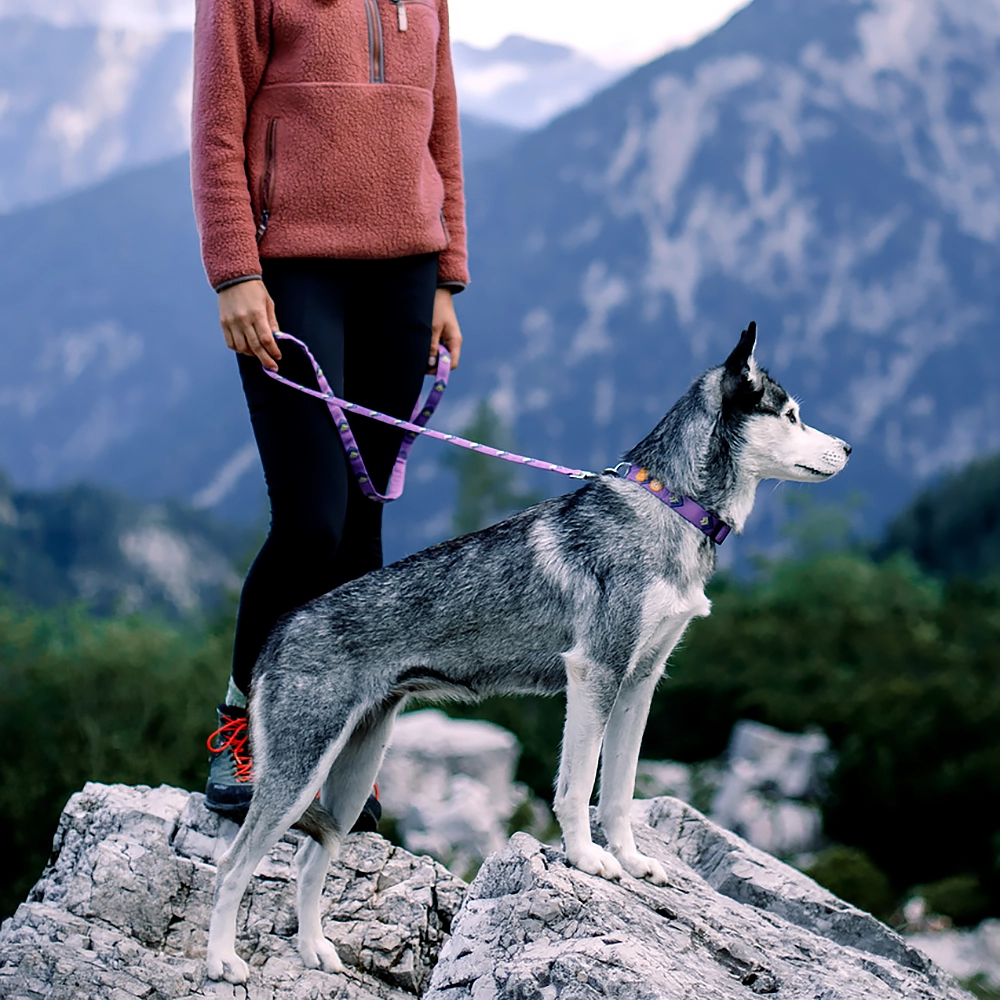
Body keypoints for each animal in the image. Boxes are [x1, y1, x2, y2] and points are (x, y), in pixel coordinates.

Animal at [206, 323, 851, 983]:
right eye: (792, 415)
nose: (849, 450)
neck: (672, 506)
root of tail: (279, 632)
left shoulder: (640, 682)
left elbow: (618, 792)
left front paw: (631, 862)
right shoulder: (596, 673)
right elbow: (576, 786)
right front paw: (588, 860)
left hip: (354, 771)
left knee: (311, 859)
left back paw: (316, 951)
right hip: (298, 772)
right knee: (232, 867)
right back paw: (223, 961)